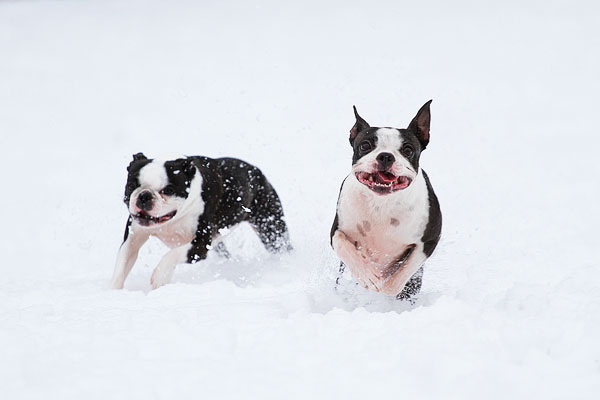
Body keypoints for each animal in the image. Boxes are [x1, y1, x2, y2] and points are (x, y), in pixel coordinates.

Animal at [112, 152, 292, 290]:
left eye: (168, 190)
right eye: (132, 185)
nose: (144, 195)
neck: (174, 218)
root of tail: (257, 171)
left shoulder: (200, 245)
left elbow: (172, 255)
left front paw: (159, 276)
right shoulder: (133, 238)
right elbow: (122, 263)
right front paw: (114, 292)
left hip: (271, 228)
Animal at [330, 101, 442, 298]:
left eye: (407, 150)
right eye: (365, 146)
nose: (386, 156)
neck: (381, 203)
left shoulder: (429, 241)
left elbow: (401, 274)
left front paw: (386, 286)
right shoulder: (337, 231)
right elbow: (343, 246)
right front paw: (367, 275)